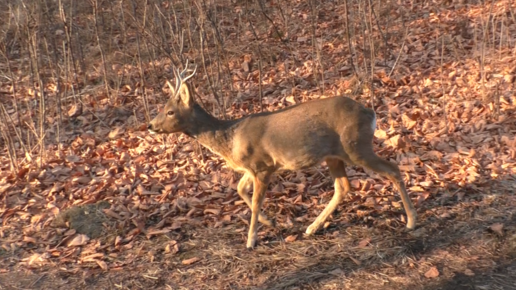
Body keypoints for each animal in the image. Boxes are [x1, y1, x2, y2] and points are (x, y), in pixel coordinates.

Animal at [147, 63, 418, 249]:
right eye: (162, 108)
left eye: (170, 111)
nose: (150, 125)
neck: (230, 138)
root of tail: (370, 113)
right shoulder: (253, 168)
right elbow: (239, 189)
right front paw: (272, 223)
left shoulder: (263, 165)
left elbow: (256, 201)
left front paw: (251, 240)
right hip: (334, 155)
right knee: (343, 186)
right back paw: (312, 227)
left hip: (355, 146)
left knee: (393, 169)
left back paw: (411, 221)